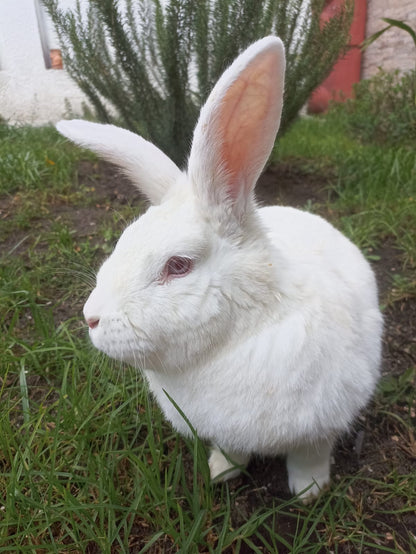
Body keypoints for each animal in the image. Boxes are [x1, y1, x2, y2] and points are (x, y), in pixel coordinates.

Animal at [57, 36, 382, 498]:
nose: (91, 318)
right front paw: (220, 473)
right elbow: (231, 450)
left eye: (178, 265)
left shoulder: (320, 428)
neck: (244, 331)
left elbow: (309, 457)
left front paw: (308, 492)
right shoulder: (225, 431)